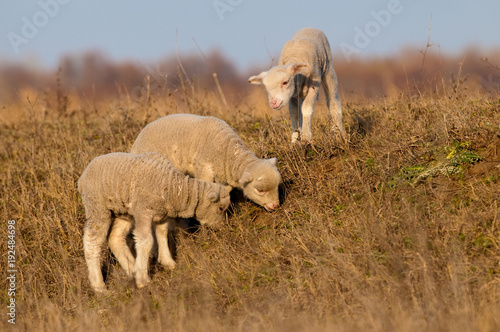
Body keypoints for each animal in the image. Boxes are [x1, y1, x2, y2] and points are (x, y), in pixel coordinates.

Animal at [77, 152, 230, 292]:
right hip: (97, 207)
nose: (222, 227)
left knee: (115, 238)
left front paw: (167, 262)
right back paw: (99, 286)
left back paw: (132, 269)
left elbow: (162, 233)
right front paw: (143, 280)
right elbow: (146, 241)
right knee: (92, 242)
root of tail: (82, 178)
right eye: (220, 208)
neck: (176, 190)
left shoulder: (161, 213)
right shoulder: (144, 210)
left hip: (124, 212)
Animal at [131, 114, 284, 211]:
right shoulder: (203, 169)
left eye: (278, 186)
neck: (227, 153)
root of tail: (134, 145)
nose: (275, 205)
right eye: (260, 190)